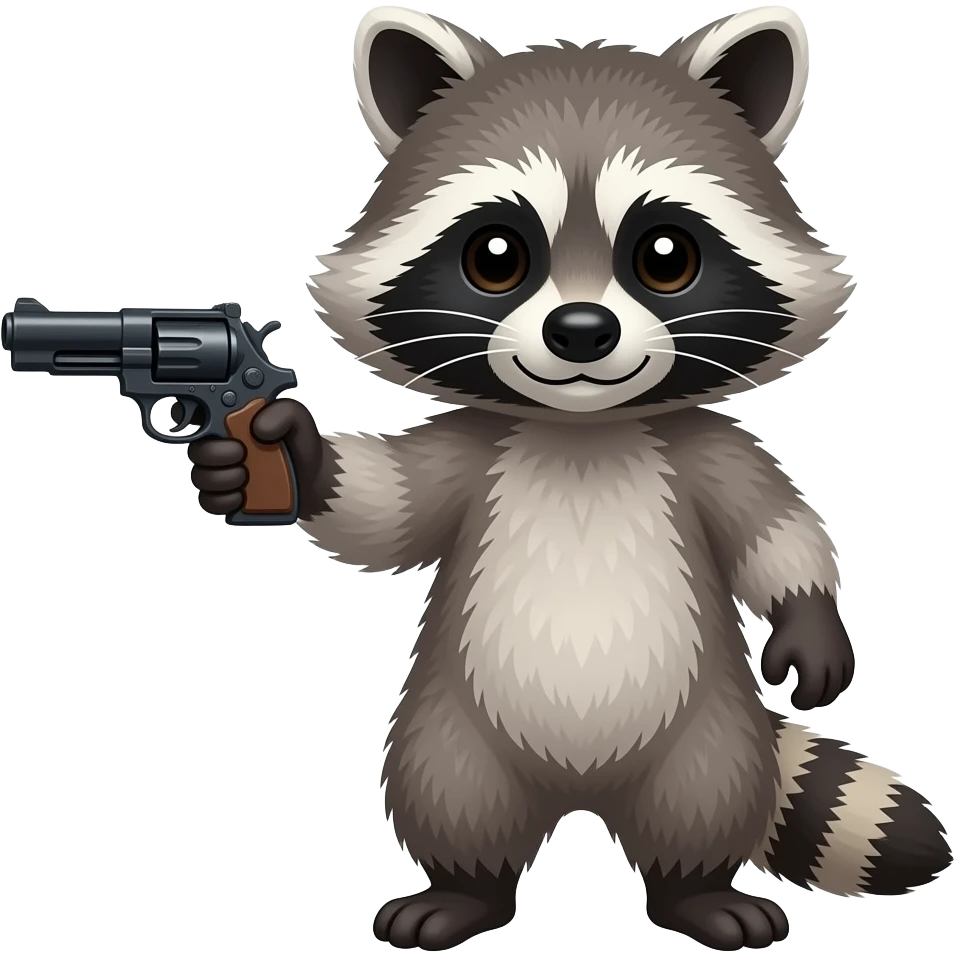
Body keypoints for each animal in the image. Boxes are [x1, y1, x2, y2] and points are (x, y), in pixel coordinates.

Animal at [183, 5, 952, 951]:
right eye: (495, 256)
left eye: (666, 255)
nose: (580, 331)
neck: (582, 430)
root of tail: (583, 790)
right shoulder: (480, 447)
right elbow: (392, 505)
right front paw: (294, 455)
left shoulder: (700, 445)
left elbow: (775, 524)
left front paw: (810, 618)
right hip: (455, 721)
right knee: (449, 792)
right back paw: (465, 891)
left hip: (706, 725)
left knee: (708, 795)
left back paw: (697, 891)